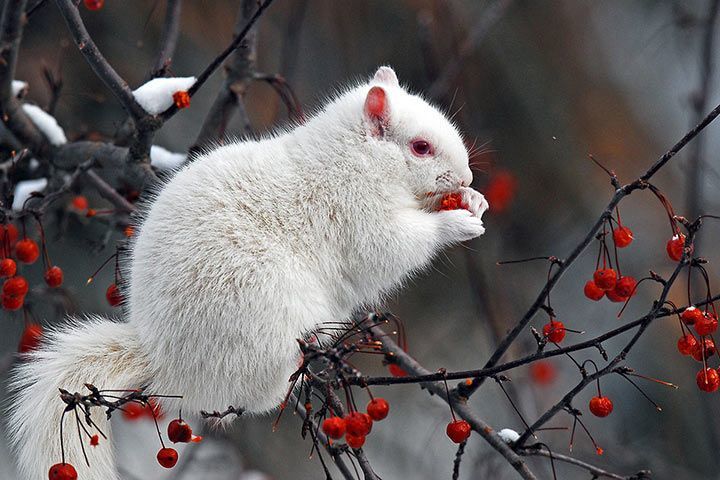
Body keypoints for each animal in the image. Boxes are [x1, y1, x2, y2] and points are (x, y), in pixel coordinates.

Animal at [7, 65, 490, 478]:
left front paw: (474, 201)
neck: (354, 158)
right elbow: (389, 248)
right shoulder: (355, 211)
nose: (466, 176)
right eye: (420, 147)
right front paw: (455, 224)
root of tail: (164, 355)